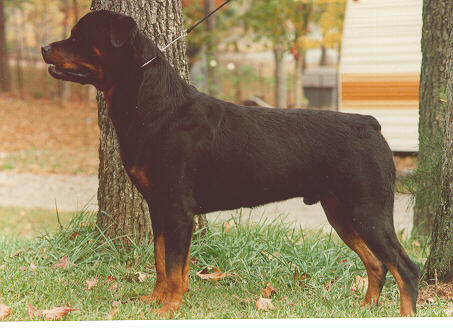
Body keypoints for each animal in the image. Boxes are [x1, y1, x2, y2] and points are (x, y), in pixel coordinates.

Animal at [40, 10, 418, 318]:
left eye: (79, 36)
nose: (44, 47)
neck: (152, 103)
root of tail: (370, 123)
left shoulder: (177, 208)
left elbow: (174, 267)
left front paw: (169, 308)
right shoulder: (159, 206)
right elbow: (162, 261)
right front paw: (155, 300)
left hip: (368, 210)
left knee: (405, 268)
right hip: (341, 212)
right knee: (377, 264)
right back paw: (365, 308)